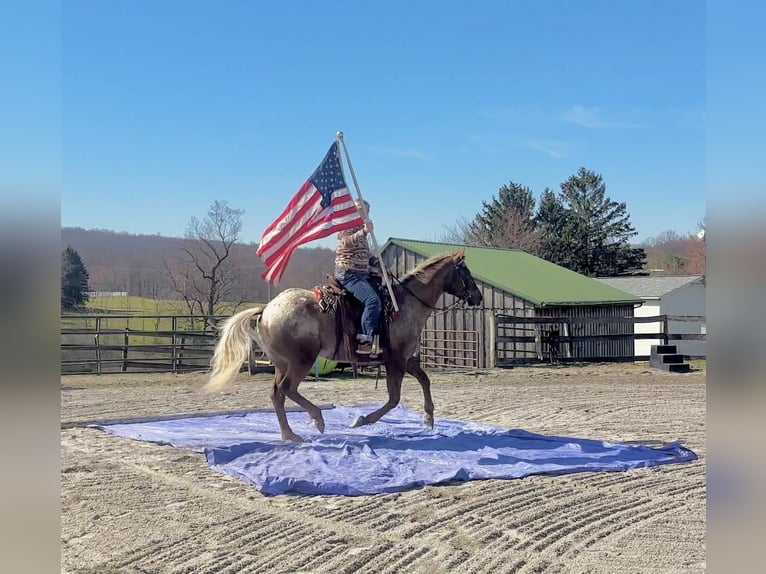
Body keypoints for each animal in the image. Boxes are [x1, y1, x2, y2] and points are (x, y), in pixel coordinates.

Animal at [204, 250, 483, 442]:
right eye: (466, 273)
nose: (478, 297)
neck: (405, 304)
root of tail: (267, 309)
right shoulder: (395, 361)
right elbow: (394, 399)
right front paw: (361, 420)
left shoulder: (406, 359)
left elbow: (425, 380)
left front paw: (429, 417)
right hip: (301, 361)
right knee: (287, 389)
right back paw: (316, 419)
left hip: (282, 364)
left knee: (277, 395)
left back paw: (289, 434)